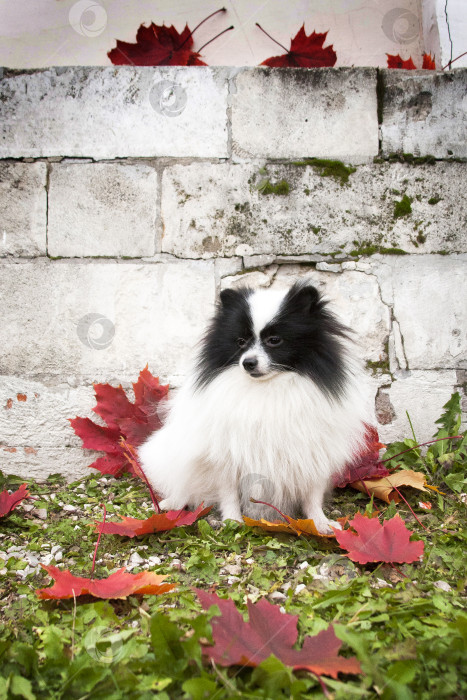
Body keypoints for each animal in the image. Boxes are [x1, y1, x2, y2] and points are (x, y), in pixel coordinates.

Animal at [139, 282, 372, 532]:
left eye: (274, 340)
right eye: (240, 342)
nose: (248, 362)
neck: (267, 387)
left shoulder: (312, 451)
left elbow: (313, 496)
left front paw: (320, 523)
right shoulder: (226, 454)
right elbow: (229, 493)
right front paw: (233, 521)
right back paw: (171, 504)